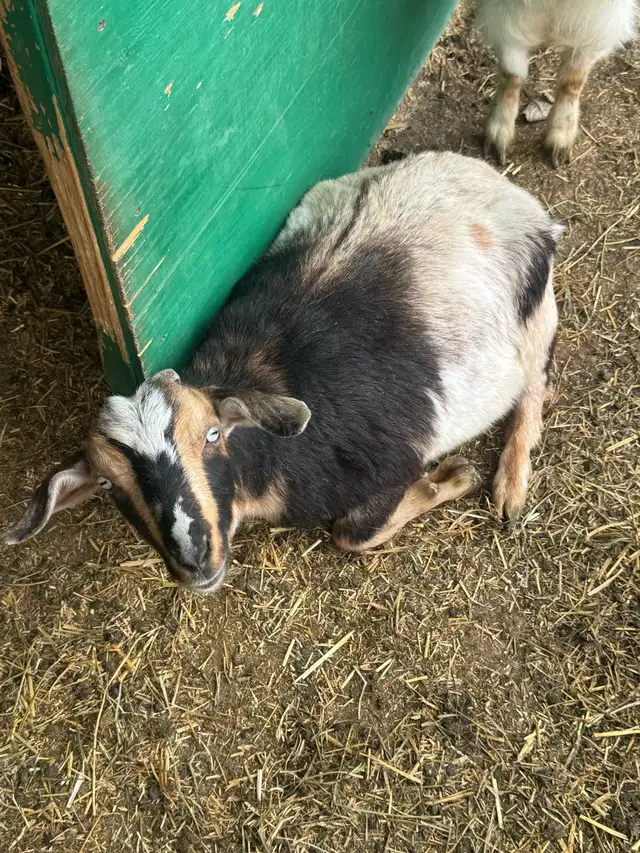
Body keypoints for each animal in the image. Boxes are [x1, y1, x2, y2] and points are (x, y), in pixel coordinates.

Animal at [3, 152, 561, 595]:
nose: (194, 558)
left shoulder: (388, 462)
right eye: (108, 485)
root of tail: (500, 186)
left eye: (212, 434)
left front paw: (453, 476)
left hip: (536, 316)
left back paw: (511, 485)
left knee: (535, 381)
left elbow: (352, 532)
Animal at [477, 0, 637, 166]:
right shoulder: (504, 14)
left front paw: (561, 141)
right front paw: (497, 135)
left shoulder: (601, 18)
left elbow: (573, 79)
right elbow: (511, 74)